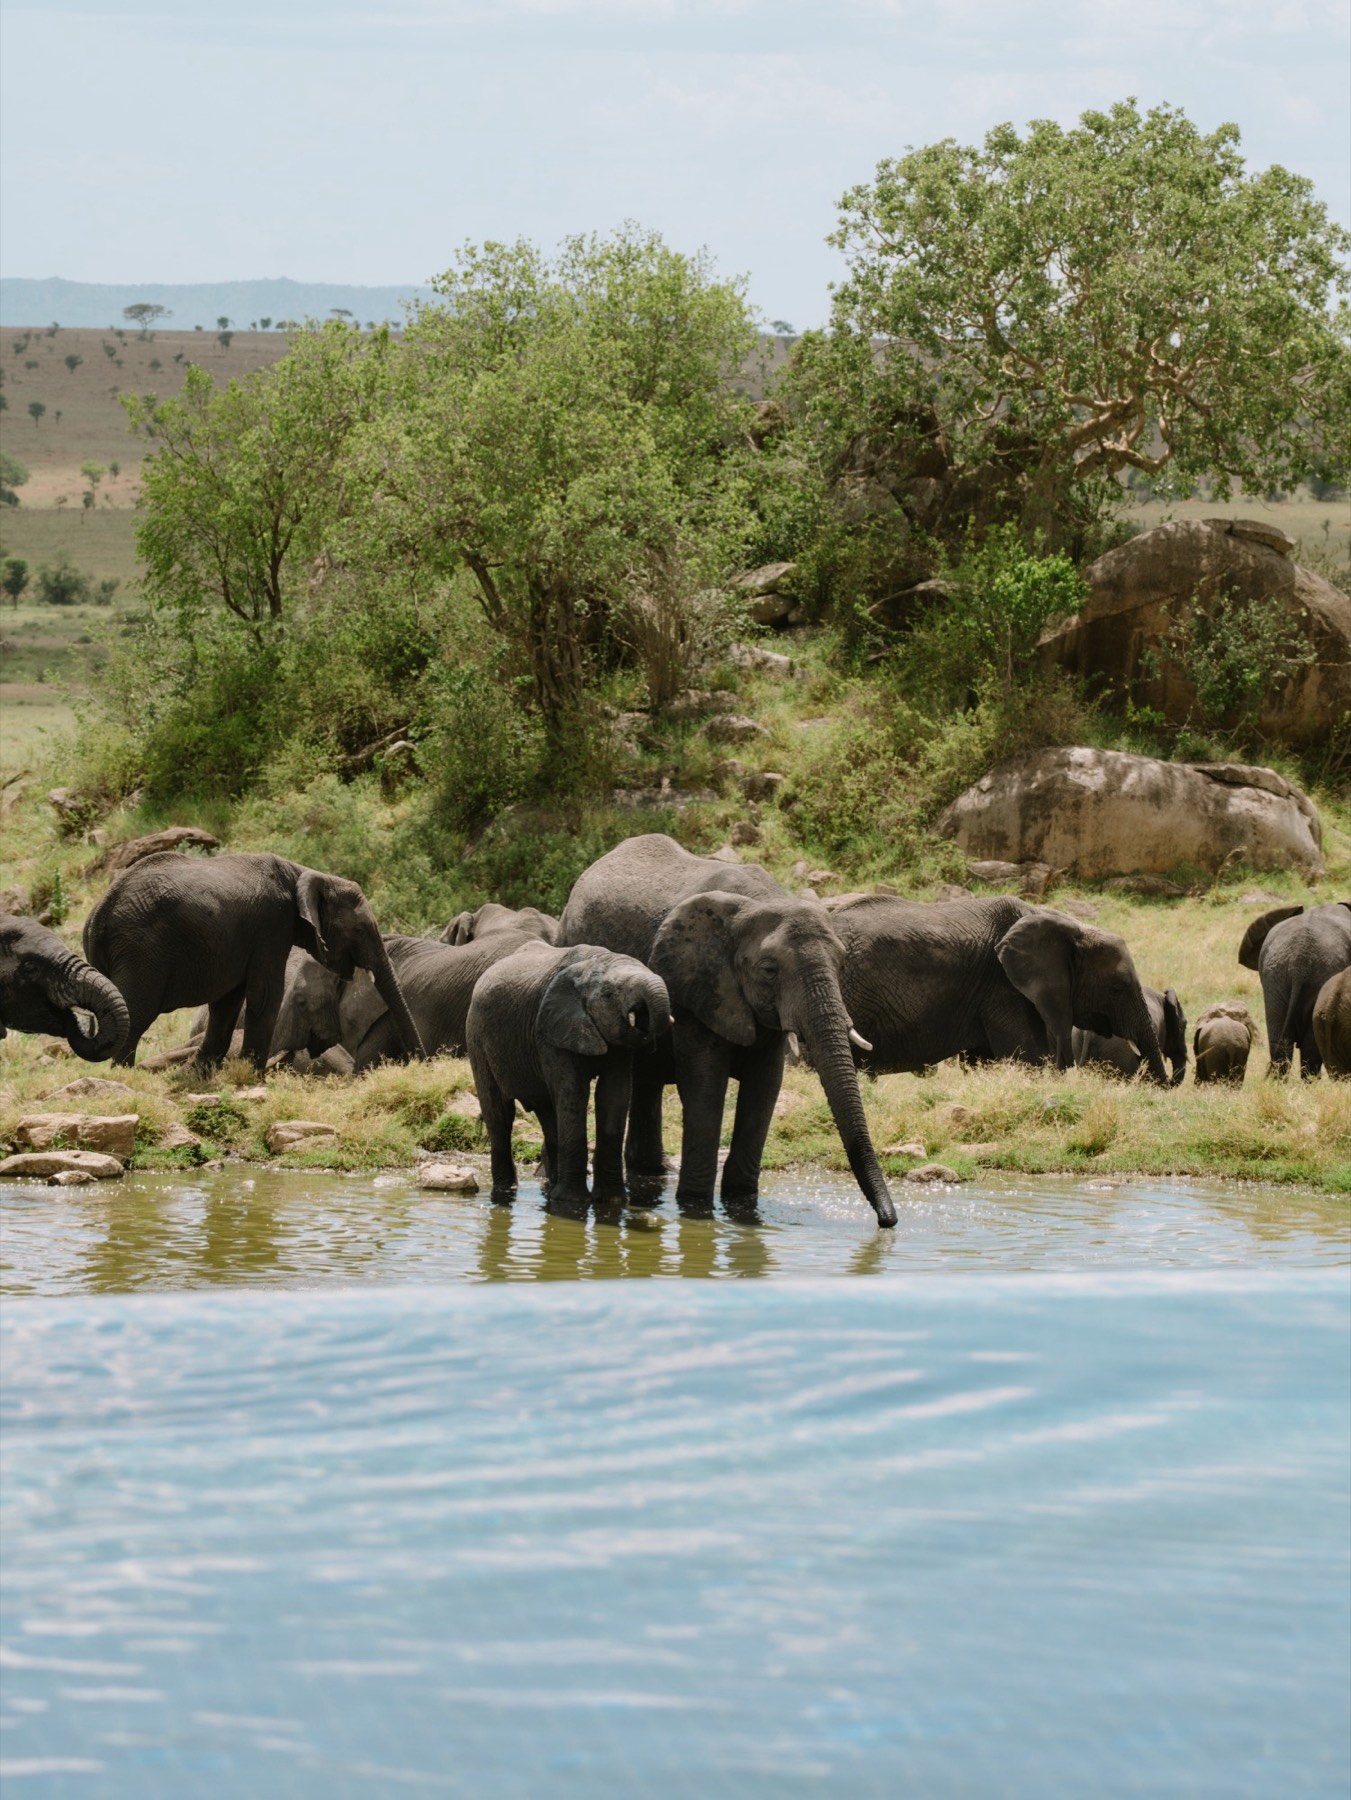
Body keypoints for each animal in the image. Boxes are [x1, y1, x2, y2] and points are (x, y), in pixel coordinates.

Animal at [83, 851, 426, 1071]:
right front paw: (252, 1074)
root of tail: (98, 912)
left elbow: (228, 1000)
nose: (422, 1063)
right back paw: (122, 1075)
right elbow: (264, 994)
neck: (304, 873)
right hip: (141, 948)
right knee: (136, 1011)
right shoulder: (272, 925)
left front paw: (201, 1073)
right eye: (359, 930)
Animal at [467, 941, 672, 1210]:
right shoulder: (551, 1031)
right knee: (500, 1114)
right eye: (609, 994)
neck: (593, 963)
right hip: (476, 1038)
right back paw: (505, 1192)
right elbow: (574, 1091)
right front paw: (572, 1203)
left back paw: (550, 1189)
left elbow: (614, 1096)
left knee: (547, 1111)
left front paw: (611, 1201)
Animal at [559, 834, 898, 1226]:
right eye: (769, 970)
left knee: (647, 1080)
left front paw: (742, 1204)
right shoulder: (697, 985)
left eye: (842, 962)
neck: (761, 901)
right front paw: (695, 1207)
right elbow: (706, 1084)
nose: (887, 1222)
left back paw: (652, 1173)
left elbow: (765, 1086)